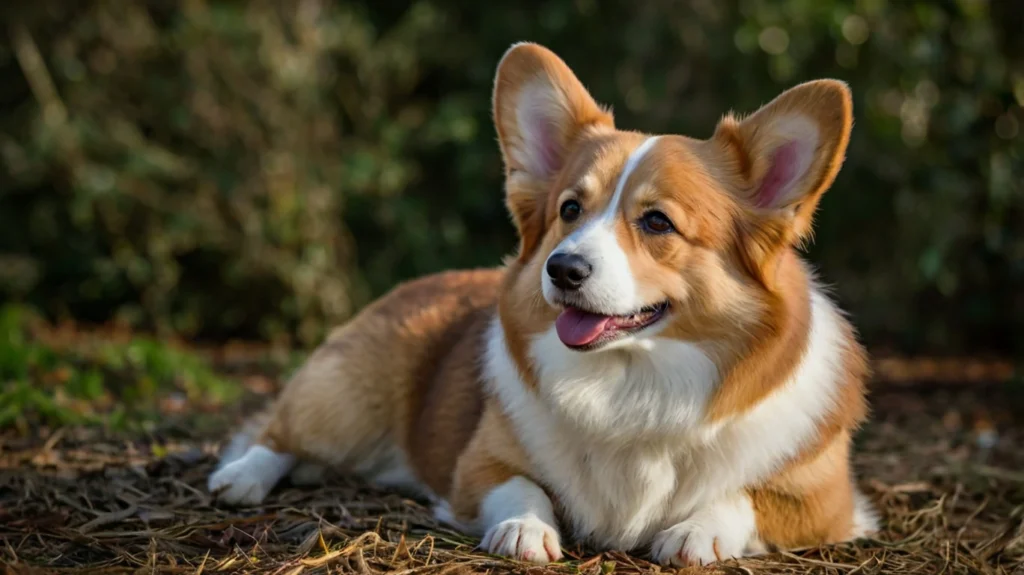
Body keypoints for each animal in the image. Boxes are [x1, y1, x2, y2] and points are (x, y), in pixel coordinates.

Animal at [209, 43, 880, 564]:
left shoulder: (829, 503)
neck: (633, 383)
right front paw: (525, 529)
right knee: (277, 433)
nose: (563, 268)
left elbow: (745, 497)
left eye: (657, 222)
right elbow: (520, 487)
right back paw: (241, 477)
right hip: (343, 399)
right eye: (570, 210)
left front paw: (697, 530)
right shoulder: (477, 468)